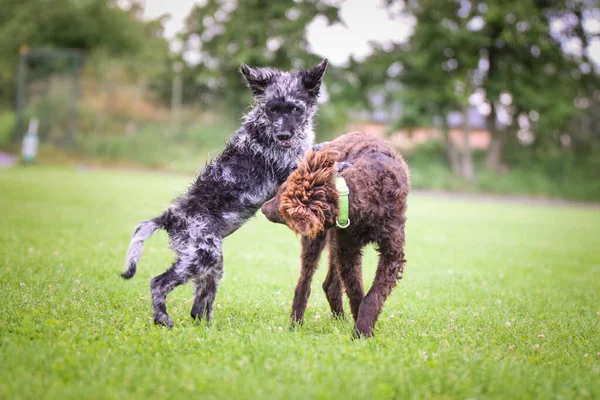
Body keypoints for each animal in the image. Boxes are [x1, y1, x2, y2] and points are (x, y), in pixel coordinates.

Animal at [122, 60, 328, 328]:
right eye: (272, 109)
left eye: (295, 108)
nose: (283, 135)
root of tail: (170, 217)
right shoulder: (290, 169)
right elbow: (317, 158)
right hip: (202, 257)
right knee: (159, 283)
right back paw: (162, 319)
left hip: (212, 265)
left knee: (198, 308)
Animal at [260, 132, 410, 338]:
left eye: (283, 204)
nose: (262, 208)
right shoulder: (347, 249)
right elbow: (356, 291)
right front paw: (361, 330)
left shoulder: (392, 252)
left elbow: (373, 295)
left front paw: (362, 330)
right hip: (317, 239)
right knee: (305, 282)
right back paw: (296, 323)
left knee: (330, 284)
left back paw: (339, 319)